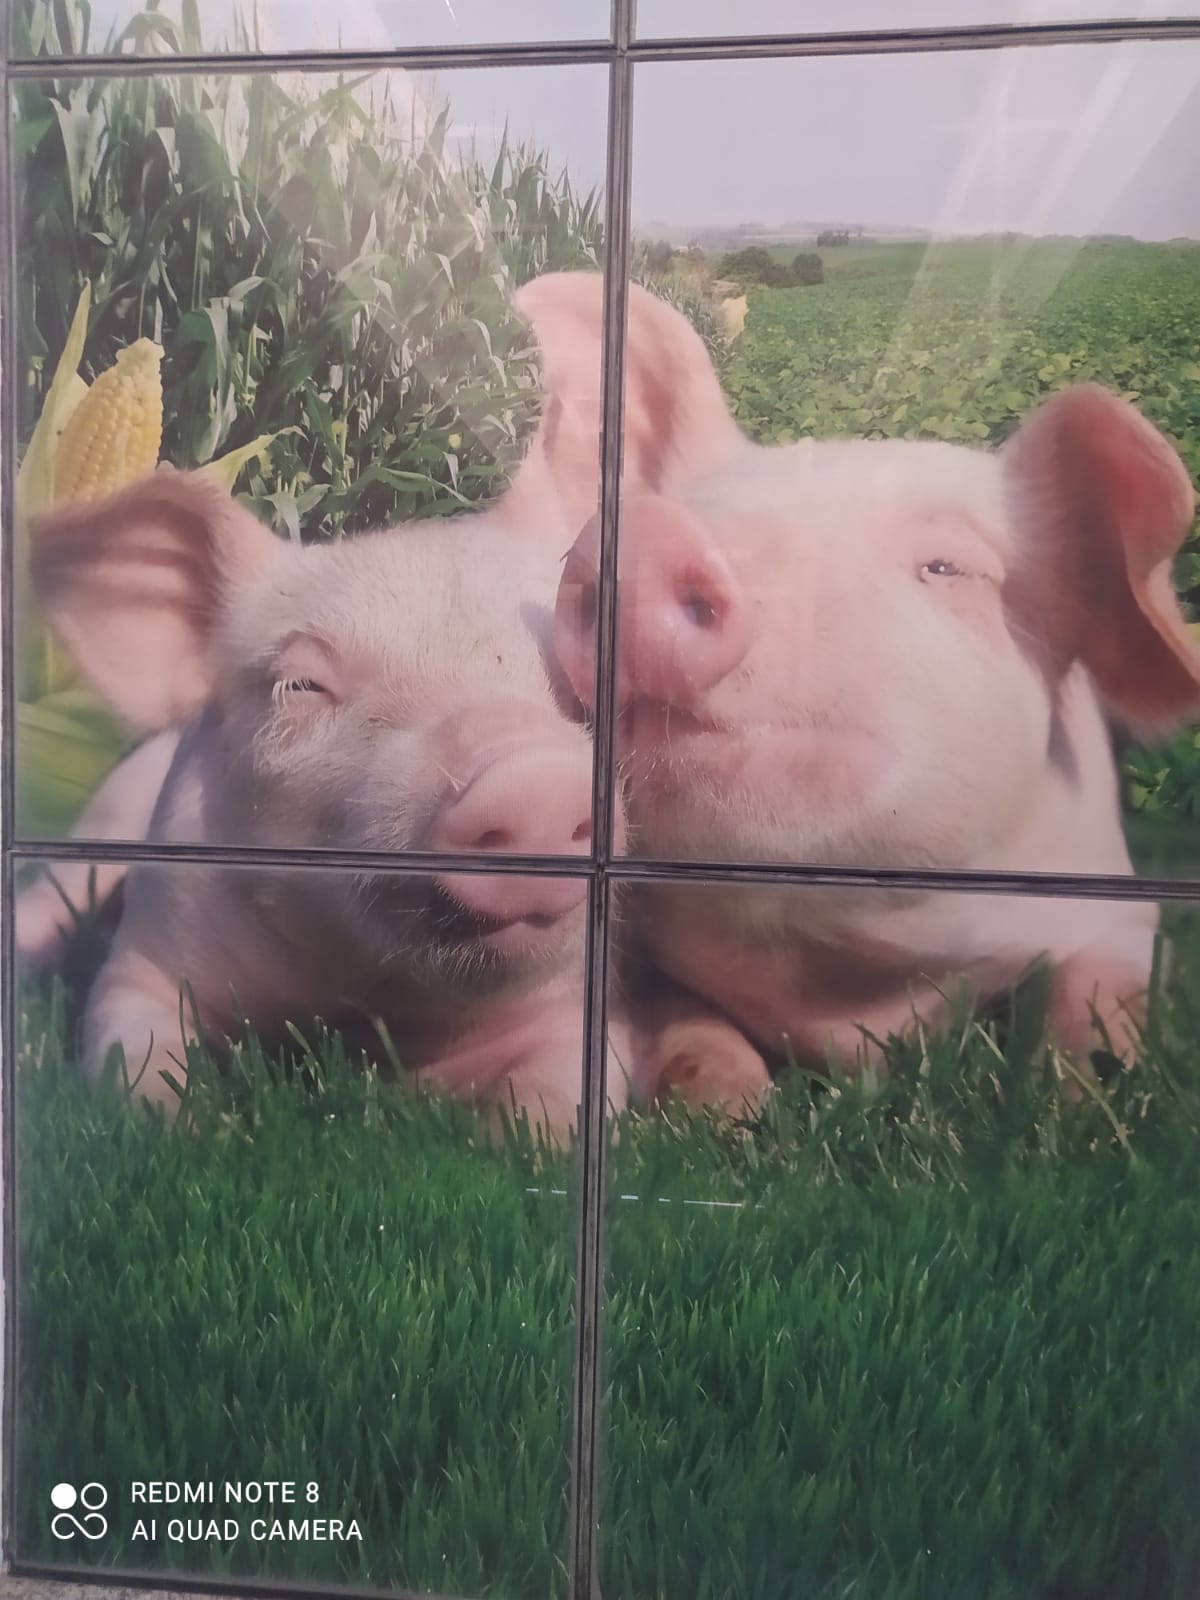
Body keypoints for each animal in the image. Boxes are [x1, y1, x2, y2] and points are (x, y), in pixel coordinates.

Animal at [22, 467, 626, 1137]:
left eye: (577, 678)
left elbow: (562, 1098)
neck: (359, 1009)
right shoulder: (149, 947)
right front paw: (194, 1131)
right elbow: (133, 1047)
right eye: (303, 685)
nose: (532, 777)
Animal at [521, 275, 1200, 1111]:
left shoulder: (1120, 907)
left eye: (947, 568)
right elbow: (683, 1018)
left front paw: (1084, 1098)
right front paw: (725, 1112)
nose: (648, 535)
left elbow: (1102, 991)